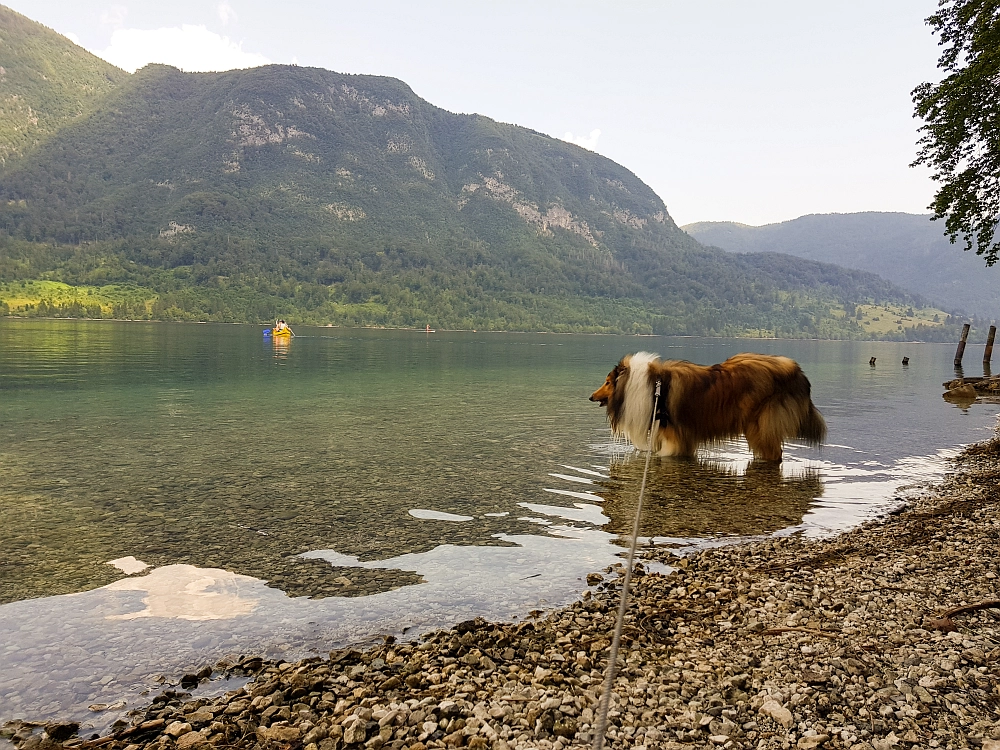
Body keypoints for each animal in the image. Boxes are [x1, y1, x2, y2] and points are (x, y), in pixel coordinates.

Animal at [584, 354, 828, 464]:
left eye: (607, 382)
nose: (590, 396)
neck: (653, 387)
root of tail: (796, 371)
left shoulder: (674, 438)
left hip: (759, 425)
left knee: (775, 453)